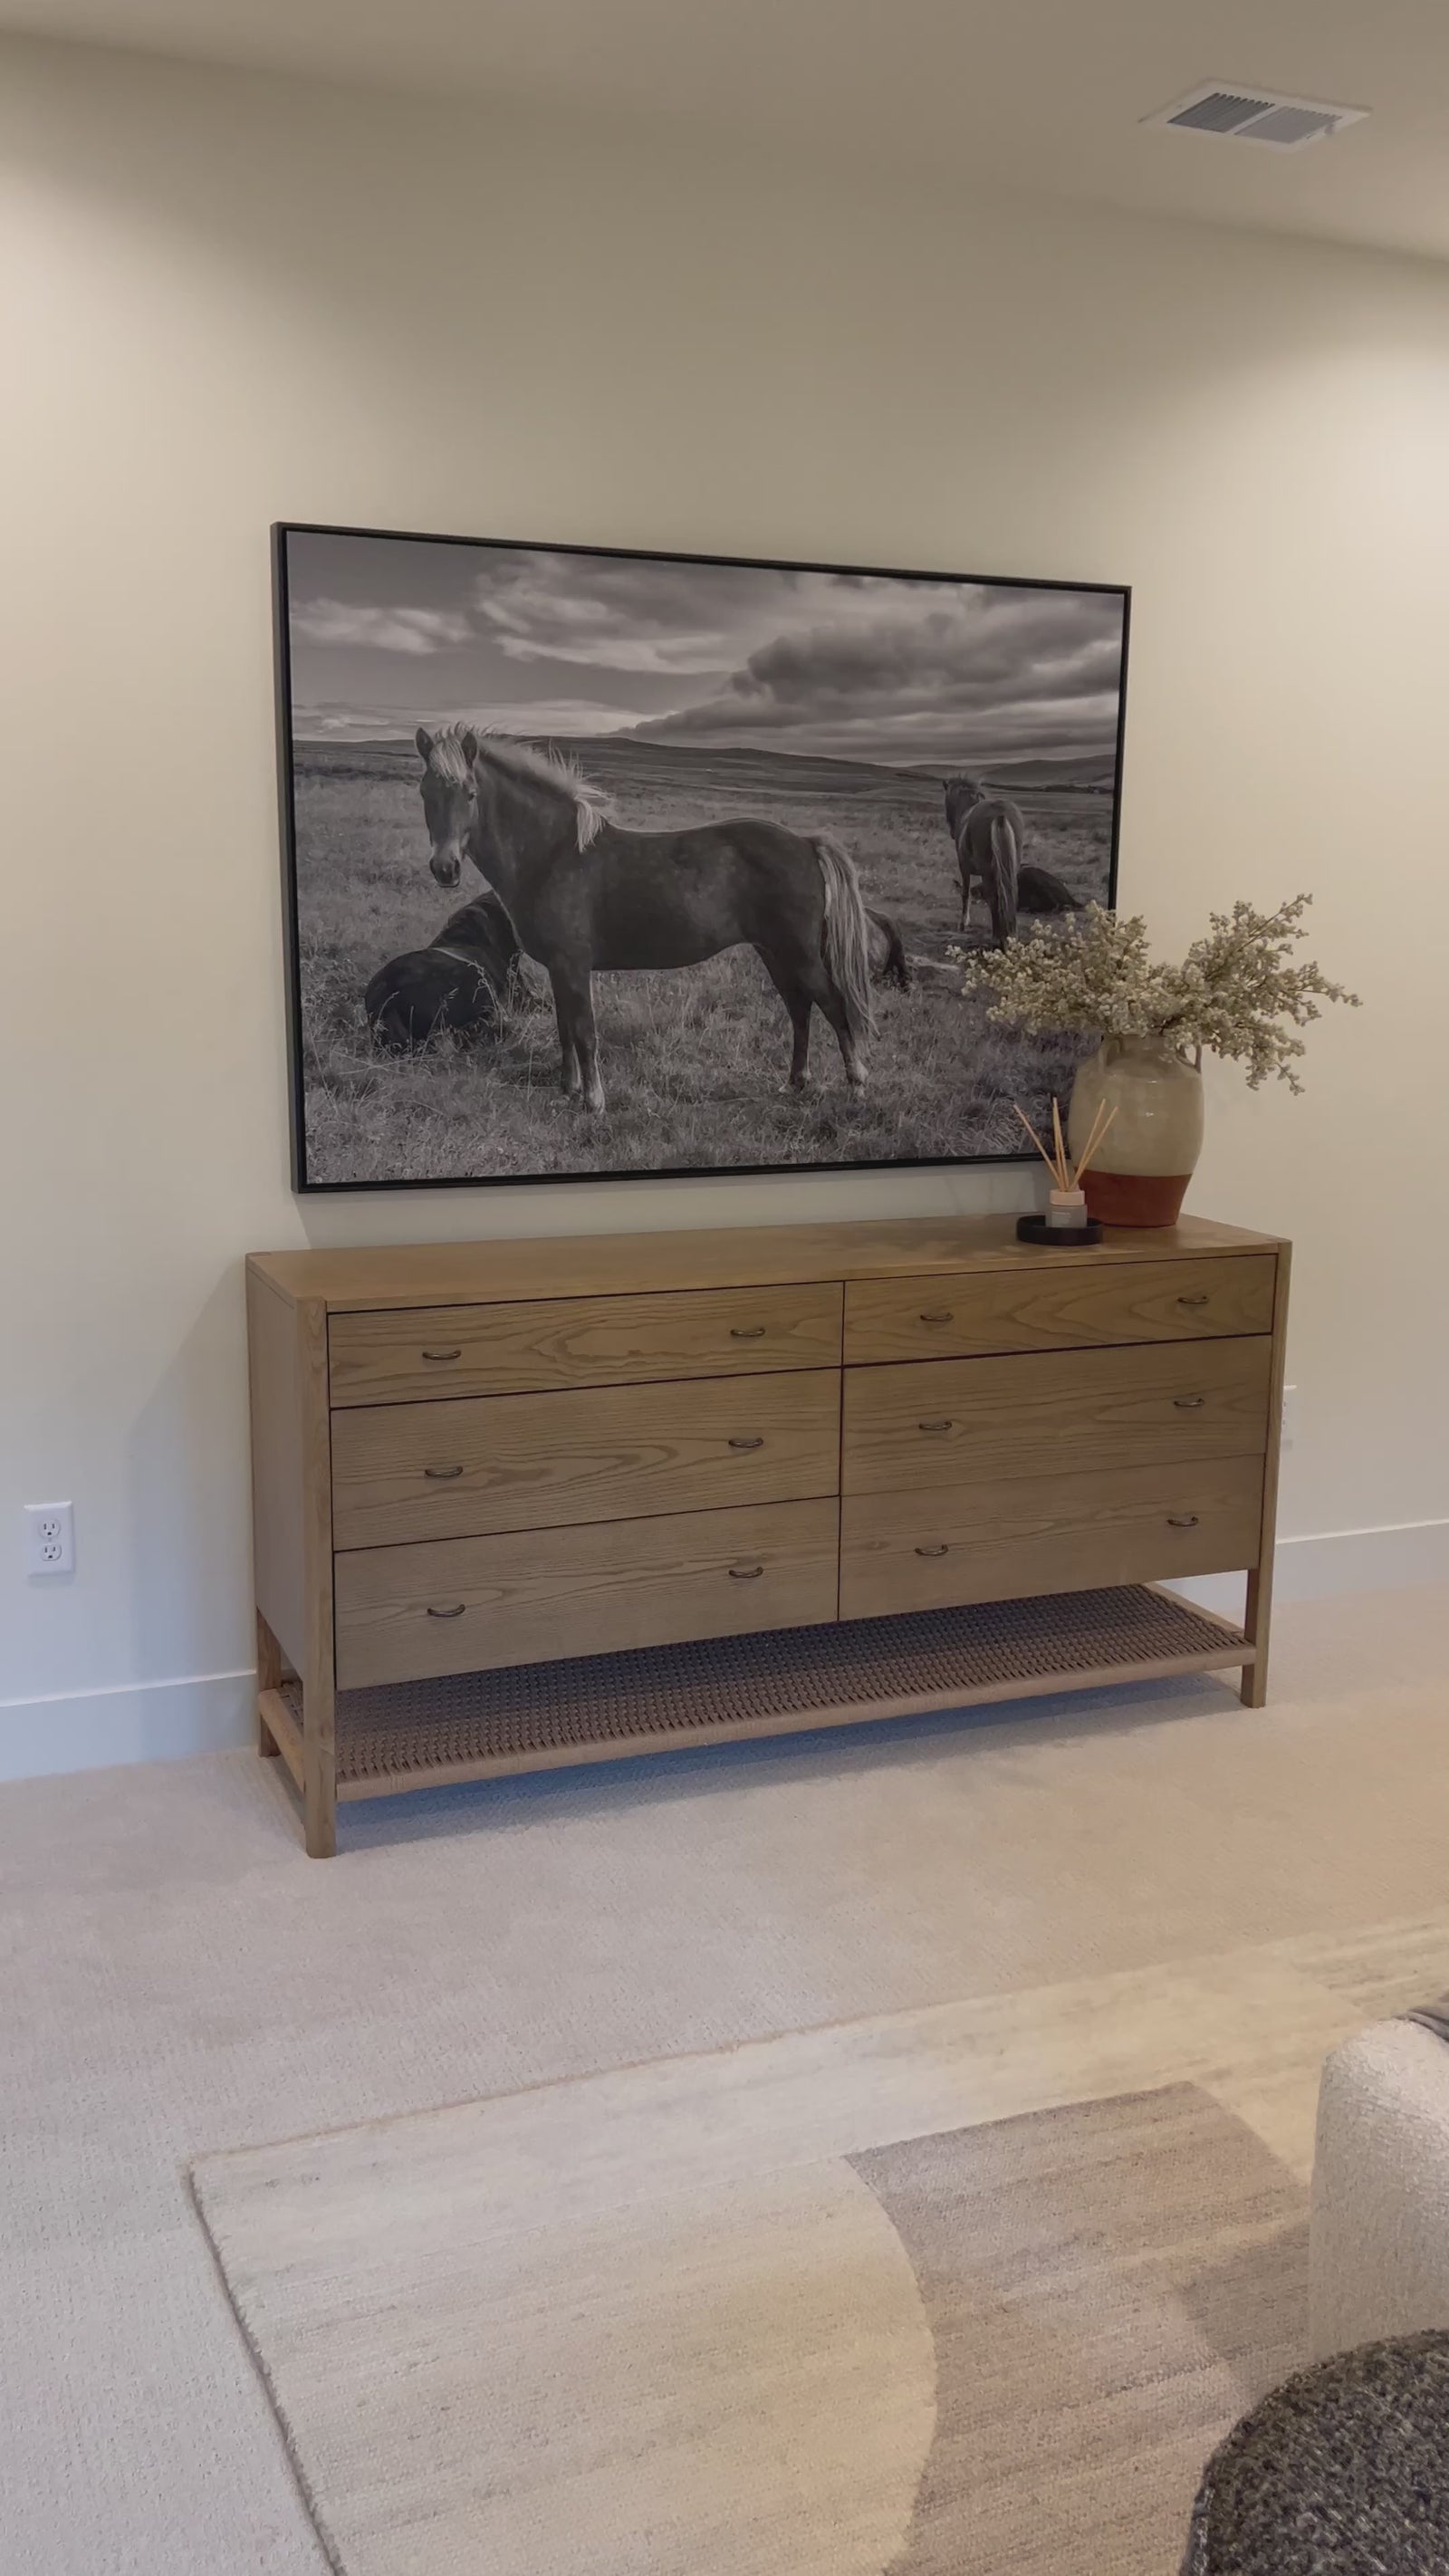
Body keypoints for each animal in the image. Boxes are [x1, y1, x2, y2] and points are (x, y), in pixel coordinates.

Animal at [414, 725, 874, 1114]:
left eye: (470, 793)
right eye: (424, 792)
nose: (445, 868)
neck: (552, 855)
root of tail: (805, 843)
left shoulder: (573, 967)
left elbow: (584, 1032)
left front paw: (594, 1101)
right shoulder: (559, 971)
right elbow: (565, 1031)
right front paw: (568, 1091)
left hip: (799, 954)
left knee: (831, 1004)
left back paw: (856, 1082)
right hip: (774, 953)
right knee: (799, 1009)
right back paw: (795, 1082)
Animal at [943, 775, 1024, 948]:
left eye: (948, 803)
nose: (953, 833)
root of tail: (1000, 814)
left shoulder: (964, 868)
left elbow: (965, 893)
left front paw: (963, 923)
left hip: (987, 872)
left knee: (994, 898)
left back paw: (997, 937)